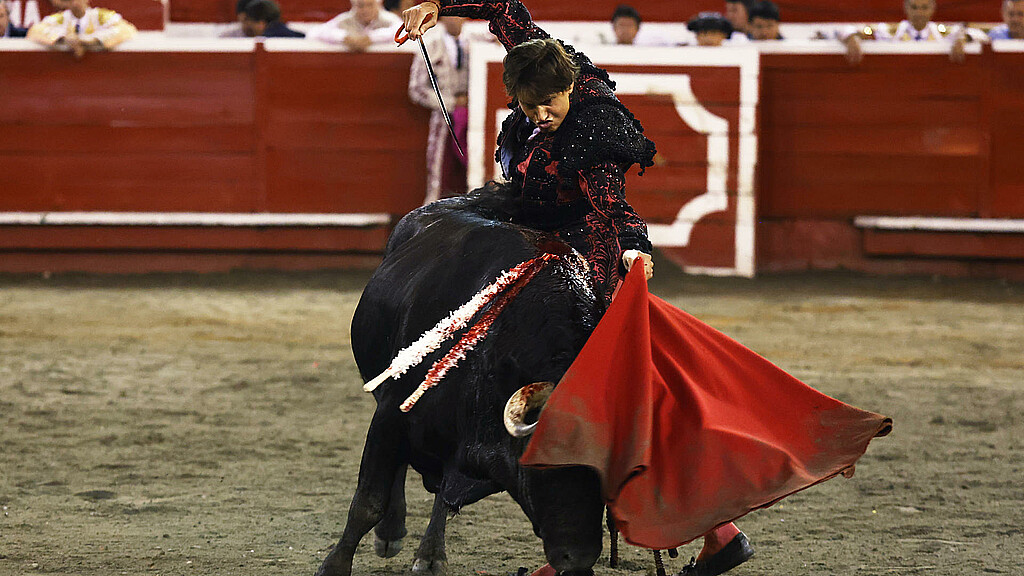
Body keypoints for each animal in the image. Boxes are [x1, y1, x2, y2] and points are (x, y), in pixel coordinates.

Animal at [315, 192, 610, 573]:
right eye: (540, 462)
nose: (579, 558)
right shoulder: (391, 413)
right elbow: (369, 501)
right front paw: (334, 565)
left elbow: (445, 494)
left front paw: (430, 555)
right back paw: (391, 531)